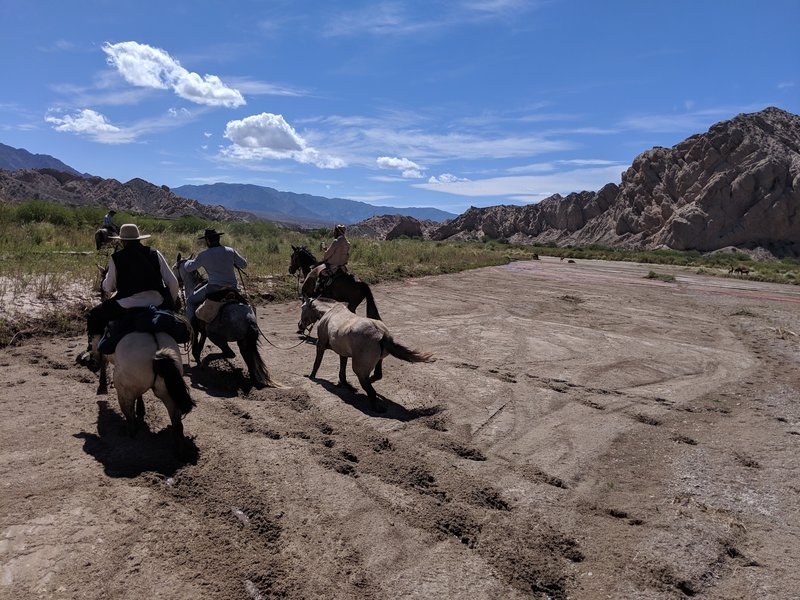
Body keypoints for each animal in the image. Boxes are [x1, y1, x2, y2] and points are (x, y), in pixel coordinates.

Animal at [172, 253, 278, 390]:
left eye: (174, 268)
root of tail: (249, 321)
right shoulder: (203, 332)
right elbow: (200, 345)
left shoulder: (196, 330)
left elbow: (196, 346)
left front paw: (198, 362)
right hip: (243, 342)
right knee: (248, 359)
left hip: (216, 337)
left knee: (230, 353)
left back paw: (208, 361)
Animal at [300, 296, 438, 412]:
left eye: (302, 308)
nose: (300, 325)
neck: (329, 311)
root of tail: (382, 334)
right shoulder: (342, 352)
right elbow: (342, 369)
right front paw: (343, 383)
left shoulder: (321, 344)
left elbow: (317, 363)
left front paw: (311, 376)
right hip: (378, 361)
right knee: (377, 376)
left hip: (359, 369)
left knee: (370, 390)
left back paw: (376, 407)